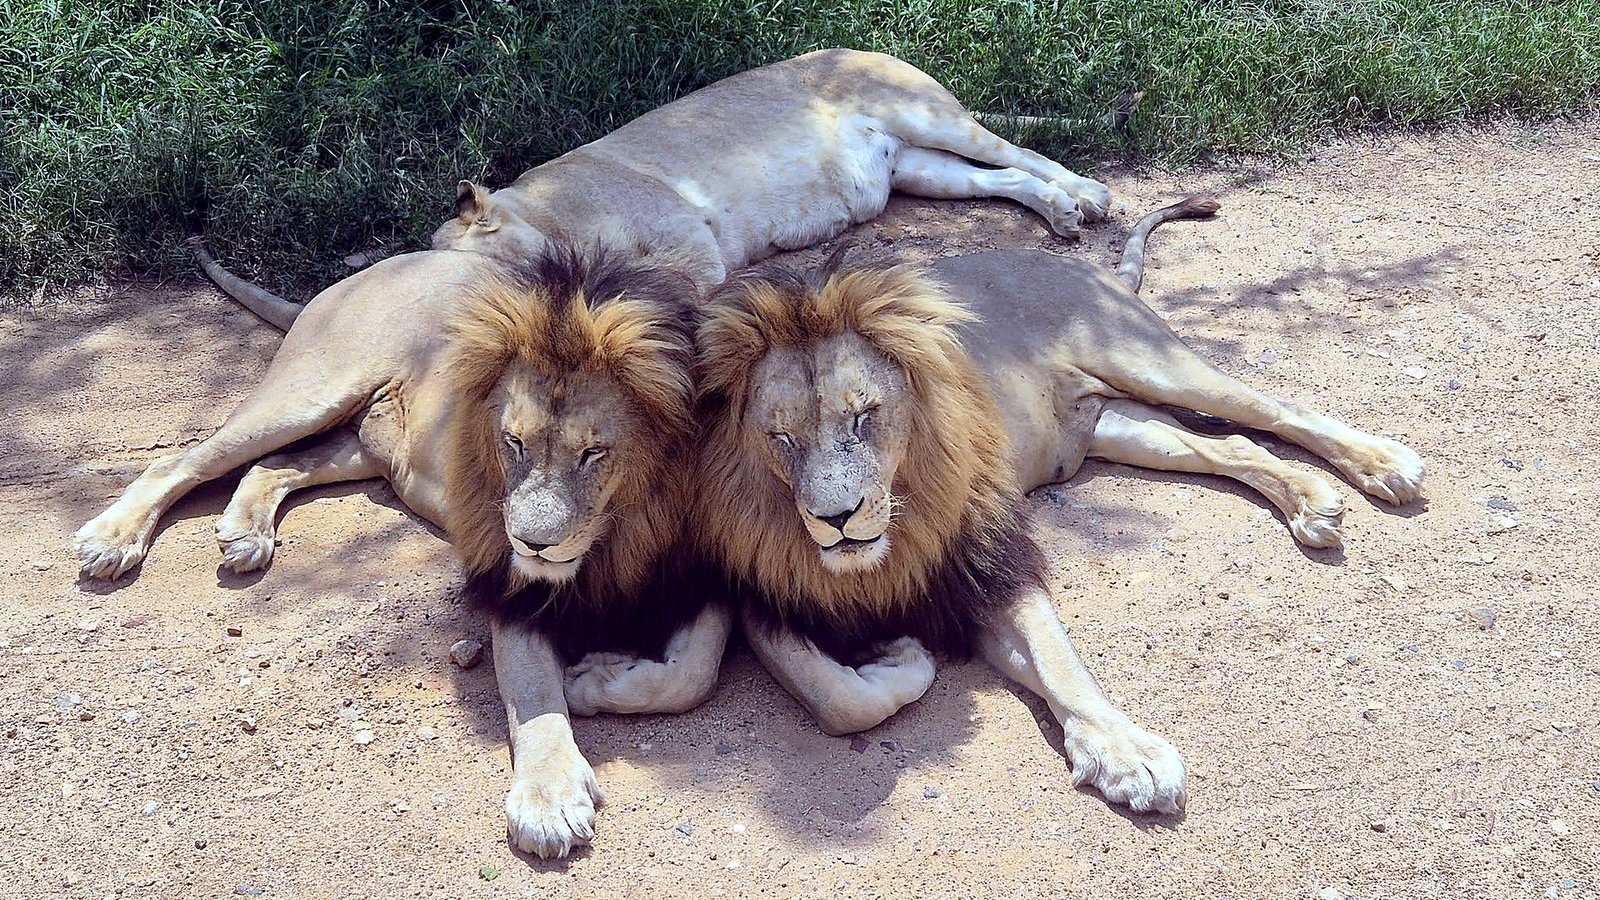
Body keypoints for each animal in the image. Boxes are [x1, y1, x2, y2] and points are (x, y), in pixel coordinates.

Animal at [692, 196, 1424, 814]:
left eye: (863, 417)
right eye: (781, 439)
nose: (836, 519)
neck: (896, 534)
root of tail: (1074, 263)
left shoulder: (985, 566)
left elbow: (1057, 660)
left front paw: (1125, 752)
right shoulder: (769, 601)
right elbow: (840, 700)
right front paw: (899, 657)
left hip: (1151, 362)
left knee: (1273, 408)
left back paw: (1384, 464)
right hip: (1120, 428)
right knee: (1232, 446)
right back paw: (1309, 502)